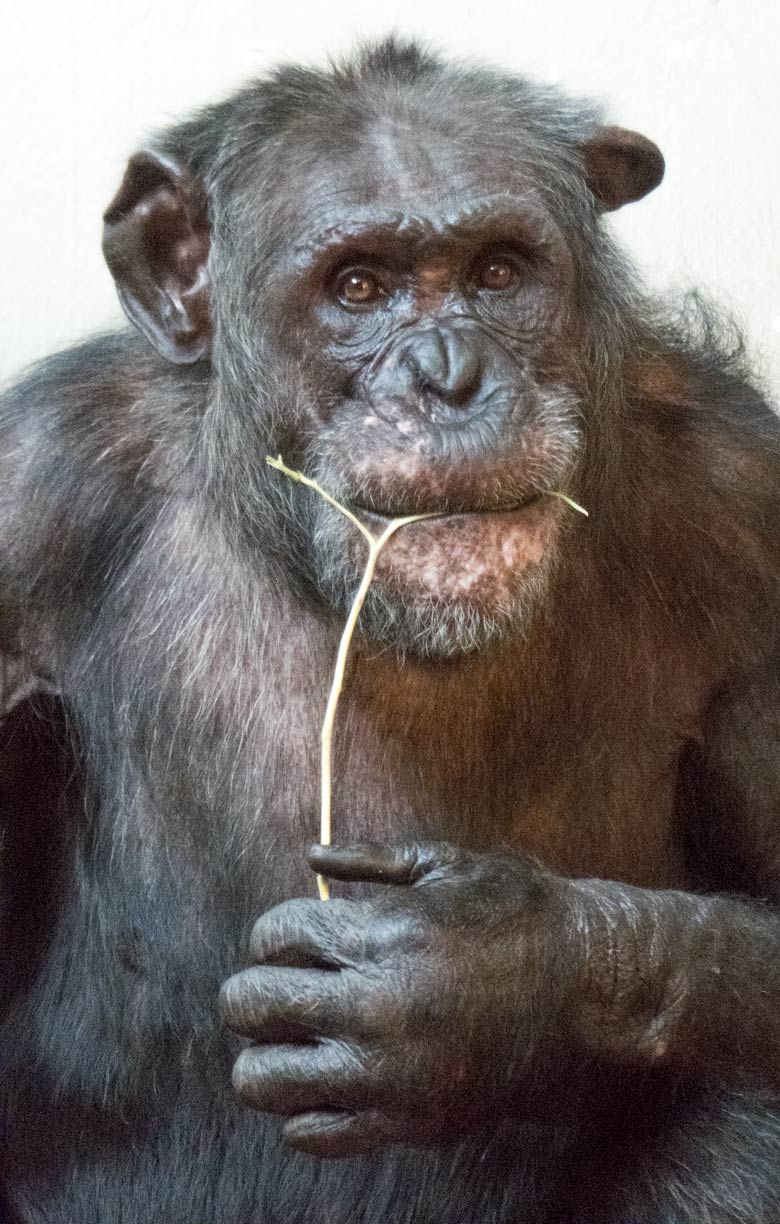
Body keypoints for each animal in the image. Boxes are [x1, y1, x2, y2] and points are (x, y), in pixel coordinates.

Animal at [1, 38, 778, 1224]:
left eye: (499, 272)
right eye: (358, 286)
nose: (448, 375)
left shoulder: (750, 503)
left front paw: (482, 981)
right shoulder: (29, 491)